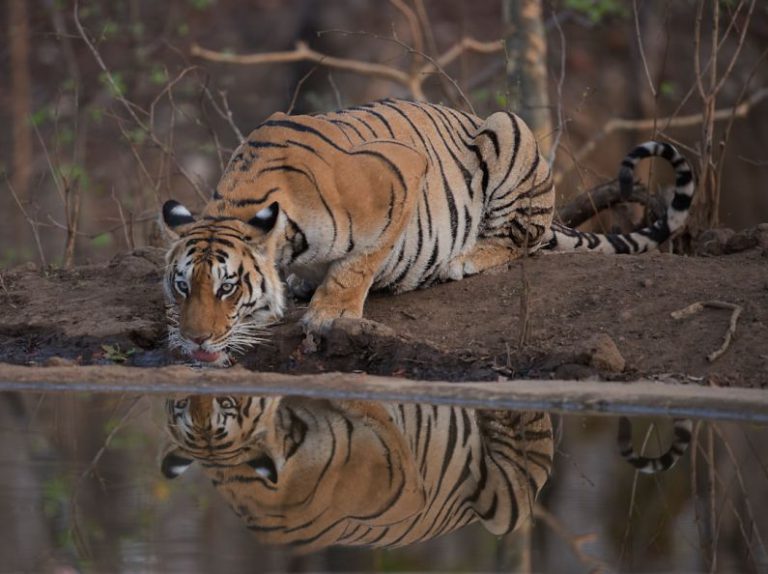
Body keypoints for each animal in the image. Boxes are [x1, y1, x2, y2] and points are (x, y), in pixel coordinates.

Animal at [162, 97, 696, 362]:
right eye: (182, 286)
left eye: (228, 287)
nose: (195, 341)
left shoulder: (400, 172)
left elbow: (358, 264)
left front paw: (329, 313)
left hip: (508, 129)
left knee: (522, 238)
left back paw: (464, 259)